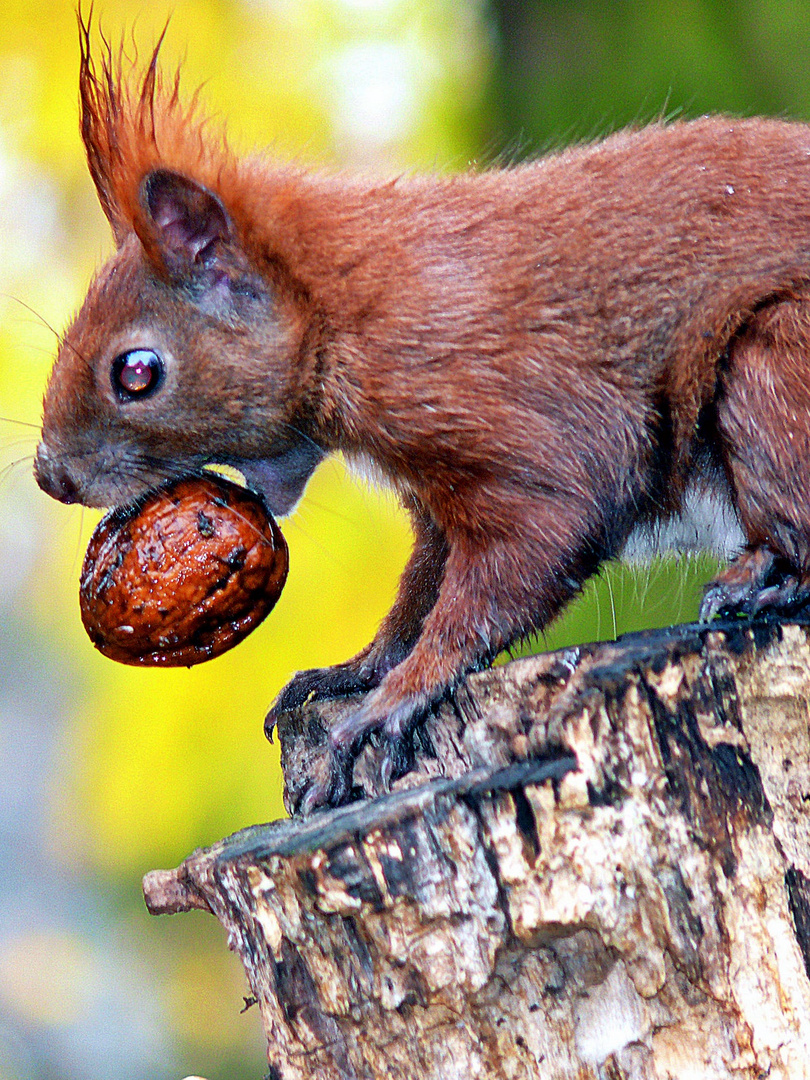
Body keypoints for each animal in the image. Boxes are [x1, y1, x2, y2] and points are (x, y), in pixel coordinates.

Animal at [34, 25, 810, 807]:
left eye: (136, 372)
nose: (49, 478)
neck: (340, 310)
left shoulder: (516, 422)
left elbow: (514, 565)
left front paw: (391, 704)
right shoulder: (437, 504)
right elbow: (419, 594)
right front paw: (354, 671)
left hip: (770, 373)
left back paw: (758, 578)